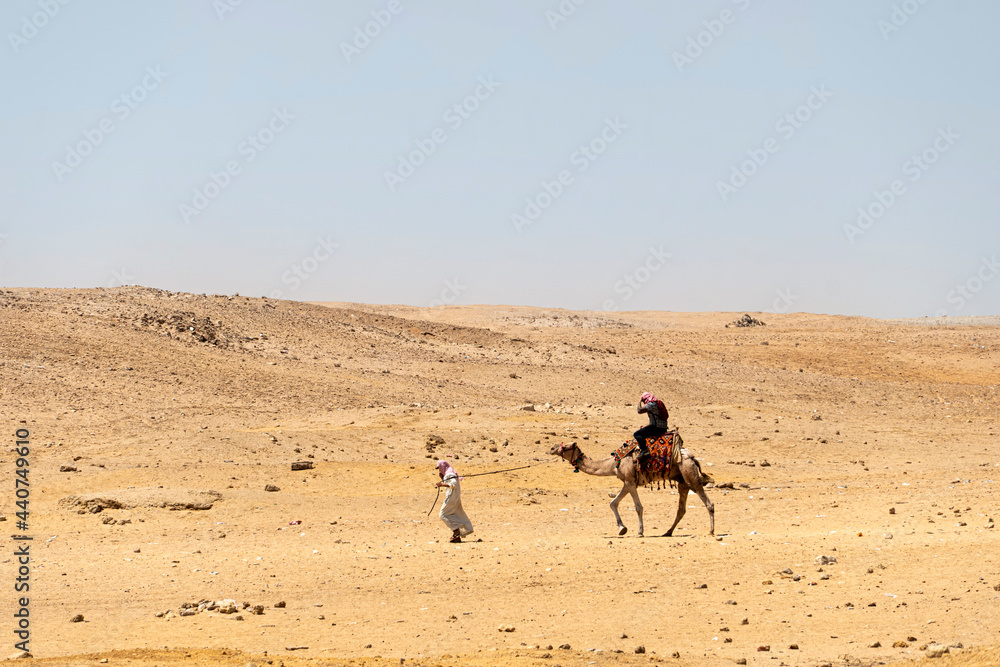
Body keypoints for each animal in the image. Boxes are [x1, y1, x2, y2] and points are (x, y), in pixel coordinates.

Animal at [552, 440, 716, 540]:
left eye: (566, 446)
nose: (552, 448)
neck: (613, 464)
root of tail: (693, 458)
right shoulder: (628, 483)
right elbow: (613, 503)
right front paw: (622, 528)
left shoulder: (630, 482)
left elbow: (638, 507)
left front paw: (640, 532)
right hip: (682, 482)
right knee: (681, 509)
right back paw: (667, 532)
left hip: (690, 475)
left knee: (708, 503)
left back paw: (711, 531)